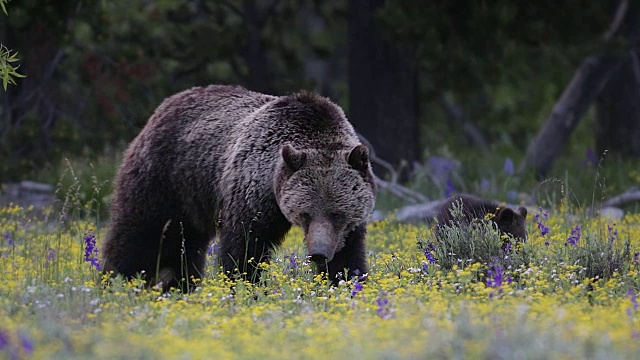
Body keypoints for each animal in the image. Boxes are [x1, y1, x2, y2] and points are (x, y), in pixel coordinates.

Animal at [102, 84, 378, 290]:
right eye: (305, 213)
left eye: (337, 214)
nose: (318, 253)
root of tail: (165, 105)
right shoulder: (252, 192)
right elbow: (244, 248)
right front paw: (248, 287)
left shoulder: (350, 224)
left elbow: (348, 254)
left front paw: (345, 283)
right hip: (164, 179)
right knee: (140, 232)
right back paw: (116, 281)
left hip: (193, 199)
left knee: (183, 244)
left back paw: (179, 286)